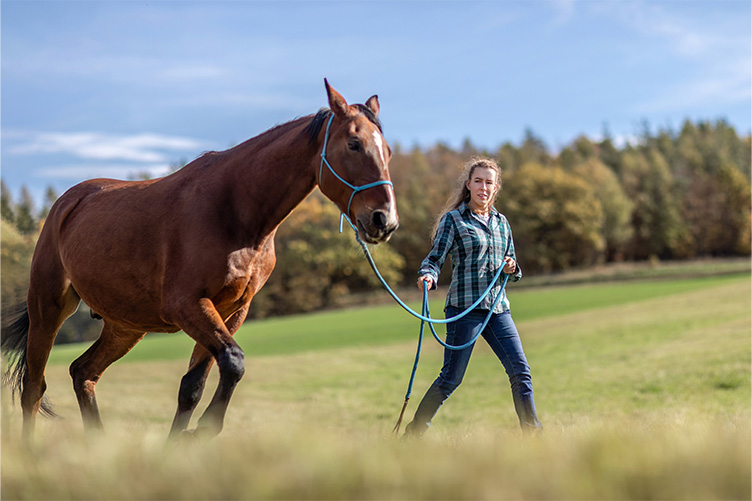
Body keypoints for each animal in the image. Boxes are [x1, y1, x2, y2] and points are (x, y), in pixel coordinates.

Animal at [1, 80, 399, 441]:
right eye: (354, 144)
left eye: (388, 151)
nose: (384, 220)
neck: (234, 211)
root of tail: (67, 203)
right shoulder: (187, 306)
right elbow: (233, 362)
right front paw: (204, 429)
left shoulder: (232, 310)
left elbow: (194, 384)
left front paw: (181, 440)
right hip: (49, 309)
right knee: (33, 388)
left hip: (125, 325)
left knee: (83, 372)